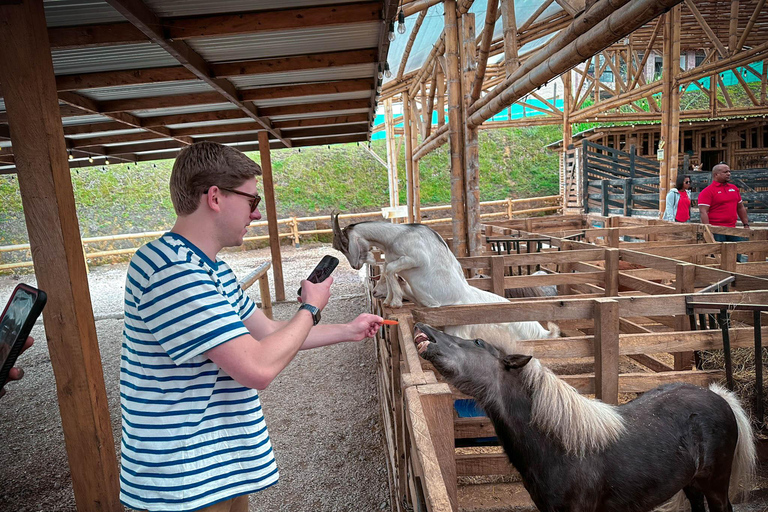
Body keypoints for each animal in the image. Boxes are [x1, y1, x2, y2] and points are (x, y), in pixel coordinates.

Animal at [332, 214, 560, 354]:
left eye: (344, 244)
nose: (354, 265)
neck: (396, 236)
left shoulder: (415, 258)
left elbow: (390, 269)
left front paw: (394, 301)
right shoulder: (394, 261)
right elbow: (388, 269)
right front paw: (390, 300)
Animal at [414, 324, 756, 512]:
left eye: (478, 343)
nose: (424, 330)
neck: (562, 447)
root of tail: (719, 397)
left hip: (715, 486)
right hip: (692, 484)